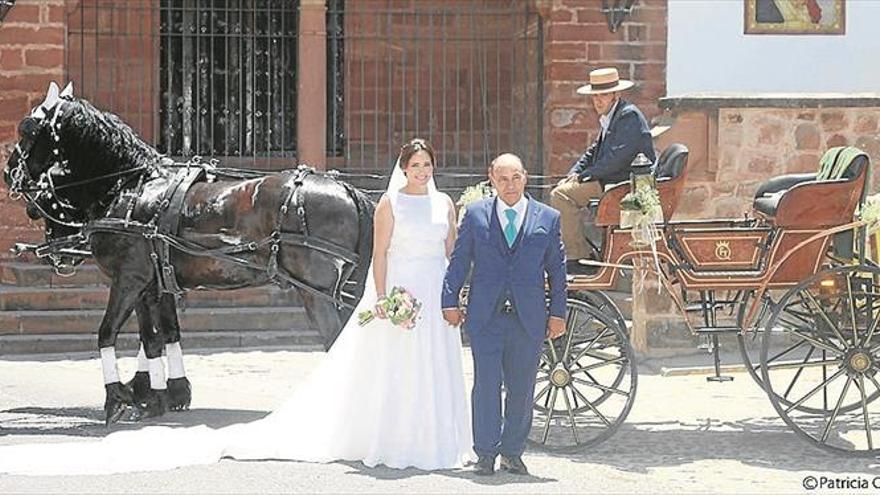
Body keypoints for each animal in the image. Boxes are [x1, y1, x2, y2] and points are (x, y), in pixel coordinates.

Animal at [5, 84, 372, 426]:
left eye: (28, 129)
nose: (9, 172)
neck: (131, 187)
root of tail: (347, 189)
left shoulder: (129, 280)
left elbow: (108, 333)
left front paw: (118, 399)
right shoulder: (153, 284)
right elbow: (157, 338)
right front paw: (158, 396)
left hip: (317, 294)